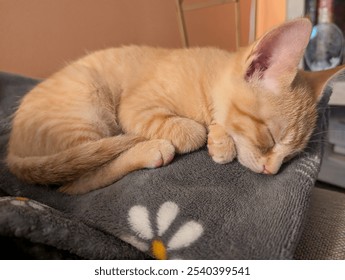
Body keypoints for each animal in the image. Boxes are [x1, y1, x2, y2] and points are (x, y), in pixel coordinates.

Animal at [6, 18, 344, 194]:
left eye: (292, 156)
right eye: (270, 139)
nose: (271, 170)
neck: (206, 80)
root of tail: (11, 152)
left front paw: (220, 140)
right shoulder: (135, 106)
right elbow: (192, 131)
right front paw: (211, 136)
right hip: (88, 103)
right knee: (75, 183)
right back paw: (150, 149)